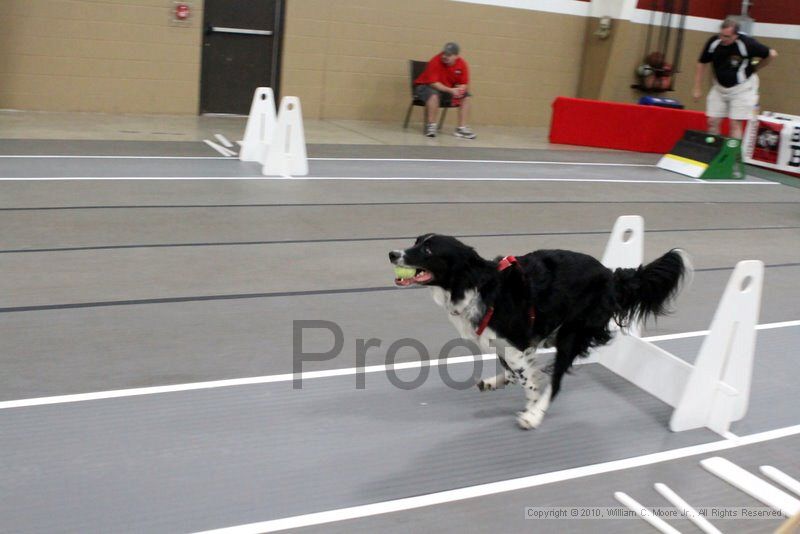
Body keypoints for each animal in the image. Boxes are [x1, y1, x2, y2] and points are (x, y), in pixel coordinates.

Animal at [388, 236, 688, 432]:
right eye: (416, 241)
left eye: (427, 249)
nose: (392, 253)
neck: (475, 284)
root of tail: (610, 275)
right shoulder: (505, 342)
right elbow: (513, 371)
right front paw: (499, 381)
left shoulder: (516, 341)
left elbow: (528, 381)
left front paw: (530, 408)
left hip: (571, 334)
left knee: (556, 382)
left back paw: (535, 414)